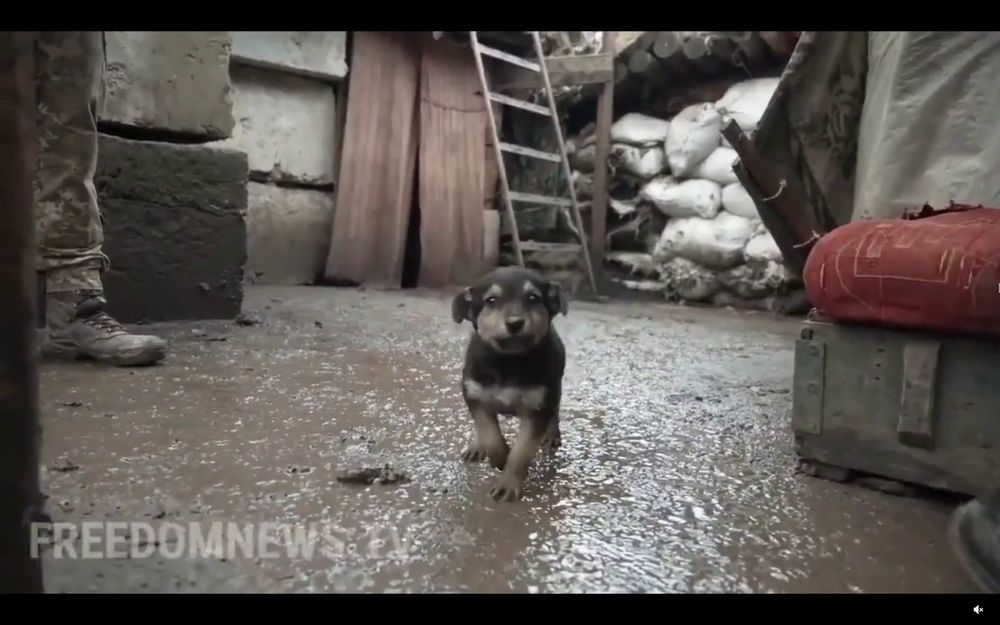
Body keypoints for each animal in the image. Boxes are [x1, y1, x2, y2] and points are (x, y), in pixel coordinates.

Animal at [450, 266, 568, 500]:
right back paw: (478, 448)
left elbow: (521, 453)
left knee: (555, 412)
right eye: (491, 300)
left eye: (533, 298)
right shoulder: (474, 396)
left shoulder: (538, 409)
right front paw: (498, 457)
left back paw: (552, 435)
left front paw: (508, 486)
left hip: (554, 389)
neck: (508, 361)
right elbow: (488, 432)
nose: (515, 323)